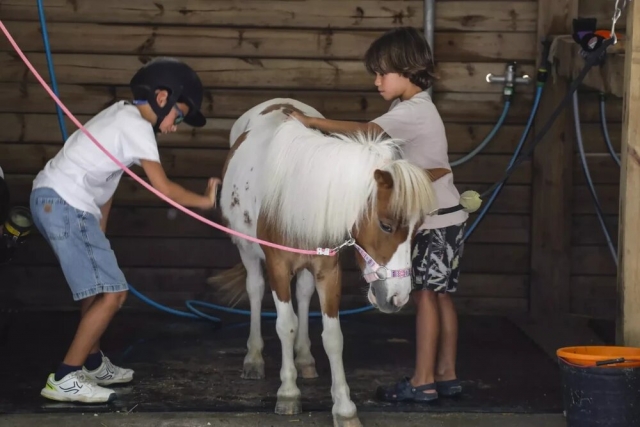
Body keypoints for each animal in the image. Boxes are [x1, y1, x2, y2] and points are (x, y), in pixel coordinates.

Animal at [208, 98, 439, 427]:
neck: (298, 193)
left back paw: (304, 358)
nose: (397, 297)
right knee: (254, 289)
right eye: (385, 225)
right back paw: (253, 358)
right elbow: (285, 325)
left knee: (304, 295)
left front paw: (344, 407)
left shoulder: (328, 269)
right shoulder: (278, 266)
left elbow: (333, 337)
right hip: (248, 251)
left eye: (418, 228)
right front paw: (288, 393)